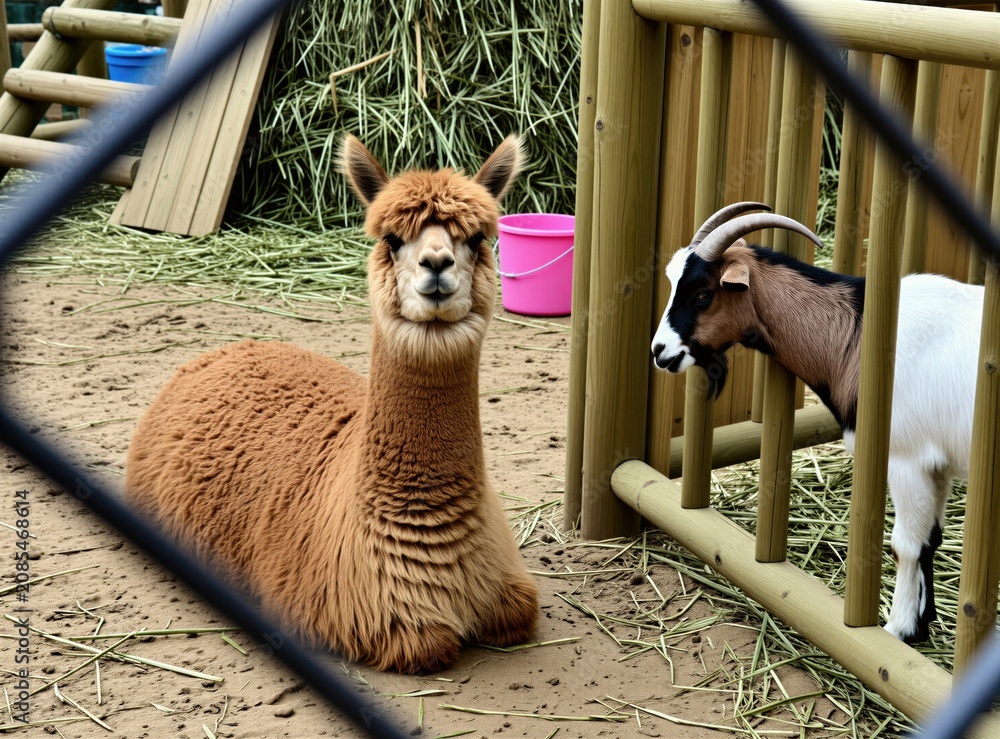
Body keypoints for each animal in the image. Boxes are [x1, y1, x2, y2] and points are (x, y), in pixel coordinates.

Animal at [651, 201, 983, 644]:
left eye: (704, 293)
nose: (659, 351)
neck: (857, 333)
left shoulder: (906, 458)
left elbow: (906, 545)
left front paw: (897, 629)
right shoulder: (937, 465)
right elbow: (932, 539)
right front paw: (921, 623)